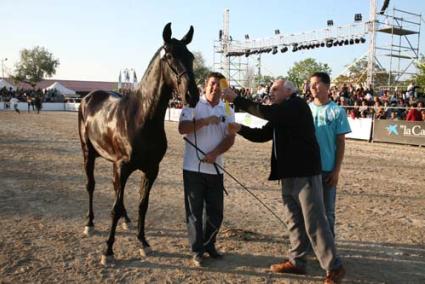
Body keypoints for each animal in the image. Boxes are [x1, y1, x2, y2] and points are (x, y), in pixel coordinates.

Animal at [77, 22, 199, 264]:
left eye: (190, 56)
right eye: (169, 56)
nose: (192, 95)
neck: (141, 117)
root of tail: (88, 97)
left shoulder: (151, 169)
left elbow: (143, 205)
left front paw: (143, 242)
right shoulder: (122, 167)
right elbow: (114, 207)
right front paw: (108, 250)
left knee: (116, 190)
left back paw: (126, 220)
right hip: (88, 153)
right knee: (91, 185)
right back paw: (90, 223)